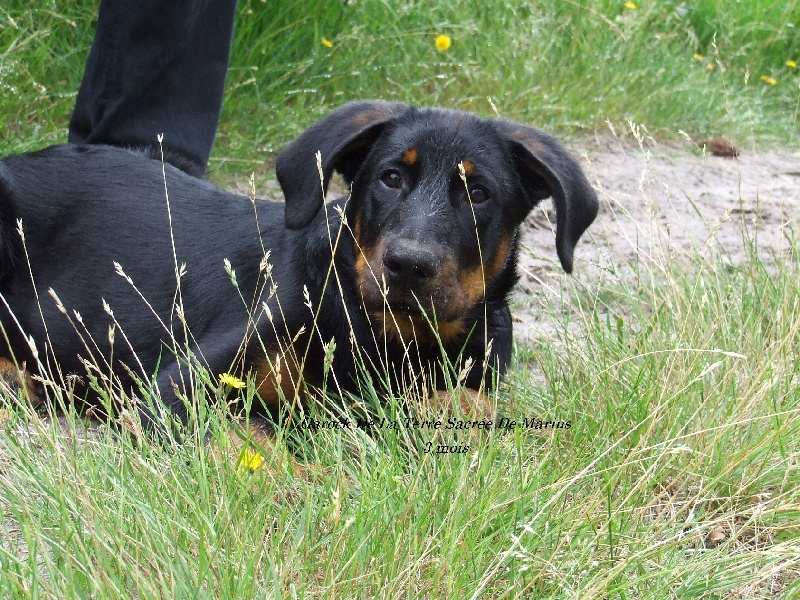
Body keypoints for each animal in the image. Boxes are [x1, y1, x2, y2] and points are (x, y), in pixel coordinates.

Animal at [0, 102, 596, 432]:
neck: (387, 335)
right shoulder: (170, 393)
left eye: (479, 193)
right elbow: (246, 434)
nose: (408, 265)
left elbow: (471, 404)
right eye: (390, 178)